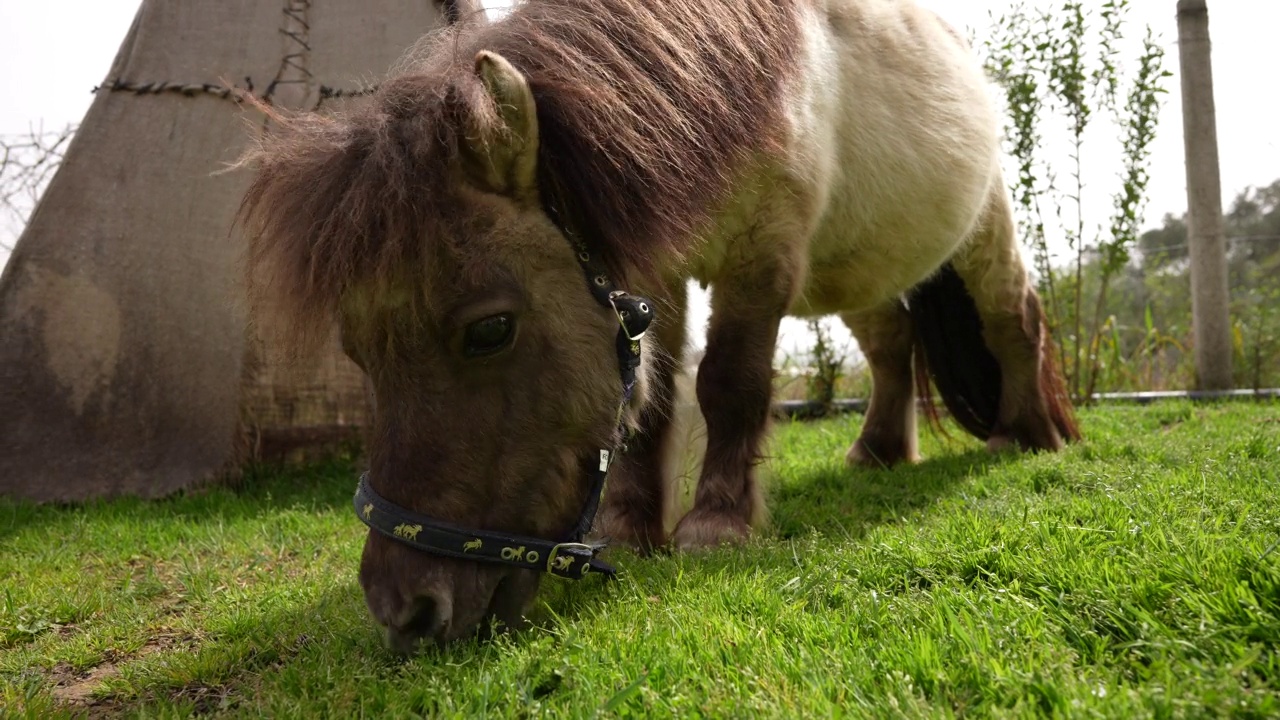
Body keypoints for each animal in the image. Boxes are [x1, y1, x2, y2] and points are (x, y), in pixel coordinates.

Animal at [232, 0, 1080, 650]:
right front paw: (635, 529)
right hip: (859, 268)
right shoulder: (656, 270)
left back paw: (1027, 435)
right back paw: (877, 454)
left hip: (983, 231)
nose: (402, 611)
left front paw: (716, 525)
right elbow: (657, 399)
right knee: (892, 348)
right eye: (358, 355)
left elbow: (729, 382)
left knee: (1015, 322)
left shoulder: (762, 255)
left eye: (490, 330)